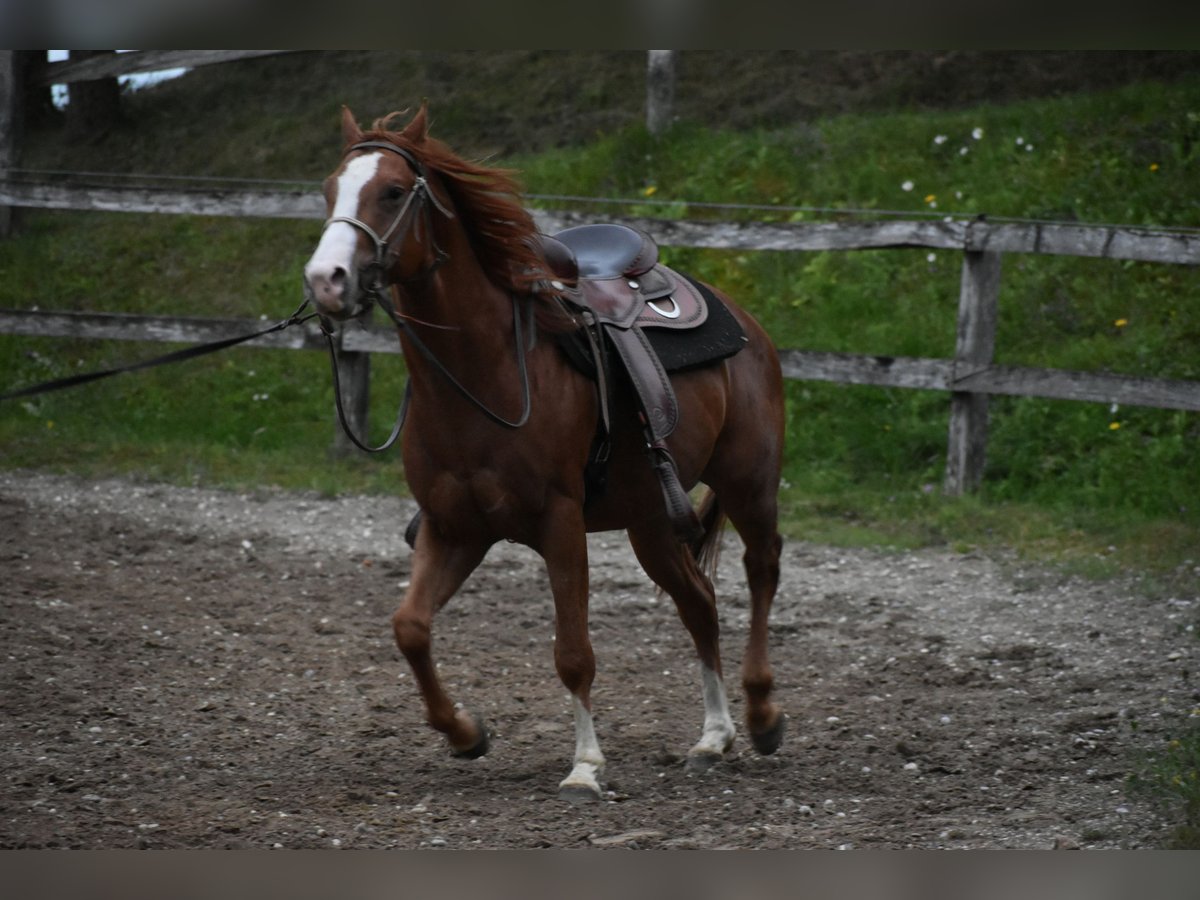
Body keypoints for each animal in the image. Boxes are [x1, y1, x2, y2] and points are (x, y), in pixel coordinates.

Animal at [300, 105, 787, 801]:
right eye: (328, 189)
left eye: (392, 191)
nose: (326, 281)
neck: (488, 372)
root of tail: (745, 322)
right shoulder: (454, 528)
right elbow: (410, 627)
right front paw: (465, 733)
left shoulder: (560, 524)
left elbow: (573, 654)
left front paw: (585, 766)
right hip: (650, 522)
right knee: (700, 603)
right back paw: (712, 739)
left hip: (749, 482)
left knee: (762, 569)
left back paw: (762, 713)